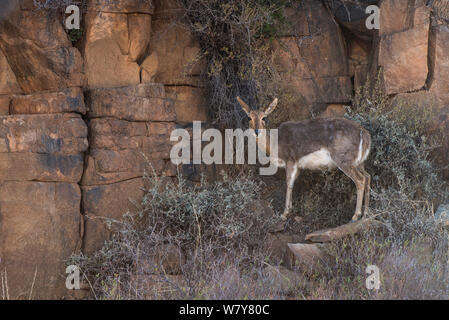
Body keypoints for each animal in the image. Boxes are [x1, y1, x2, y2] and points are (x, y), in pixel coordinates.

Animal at [236, 96, 370, 224]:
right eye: (249, 118)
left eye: (264, 117)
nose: (257, 131)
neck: (274, 144)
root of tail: (364, 134)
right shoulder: (298, 166)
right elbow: (292, 183)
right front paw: (289, 209)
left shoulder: (290, 160)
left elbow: (288, 183)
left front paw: (284, 213)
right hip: (359, 162)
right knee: (367, 176)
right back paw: (365, 214)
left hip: (343, 160)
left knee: (360, 180)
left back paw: (355, 216)